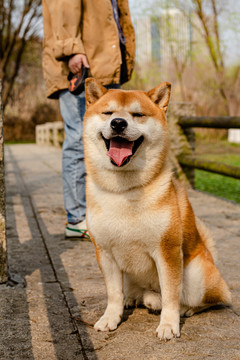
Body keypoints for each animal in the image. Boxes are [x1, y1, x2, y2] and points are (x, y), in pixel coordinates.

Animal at [82, 78, 231, 340]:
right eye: (108, 113)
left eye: (138, 114)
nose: (118, 123)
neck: (125, 191)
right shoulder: (104, 252)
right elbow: (113, 293)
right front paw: (110, 317)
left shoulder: (167, 251)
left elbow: (171, 294)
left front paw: (169, 324)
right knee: (137, 292)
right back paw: (134, 298)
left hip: (197, 276)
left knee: (206, 299)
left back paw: (185, 309)